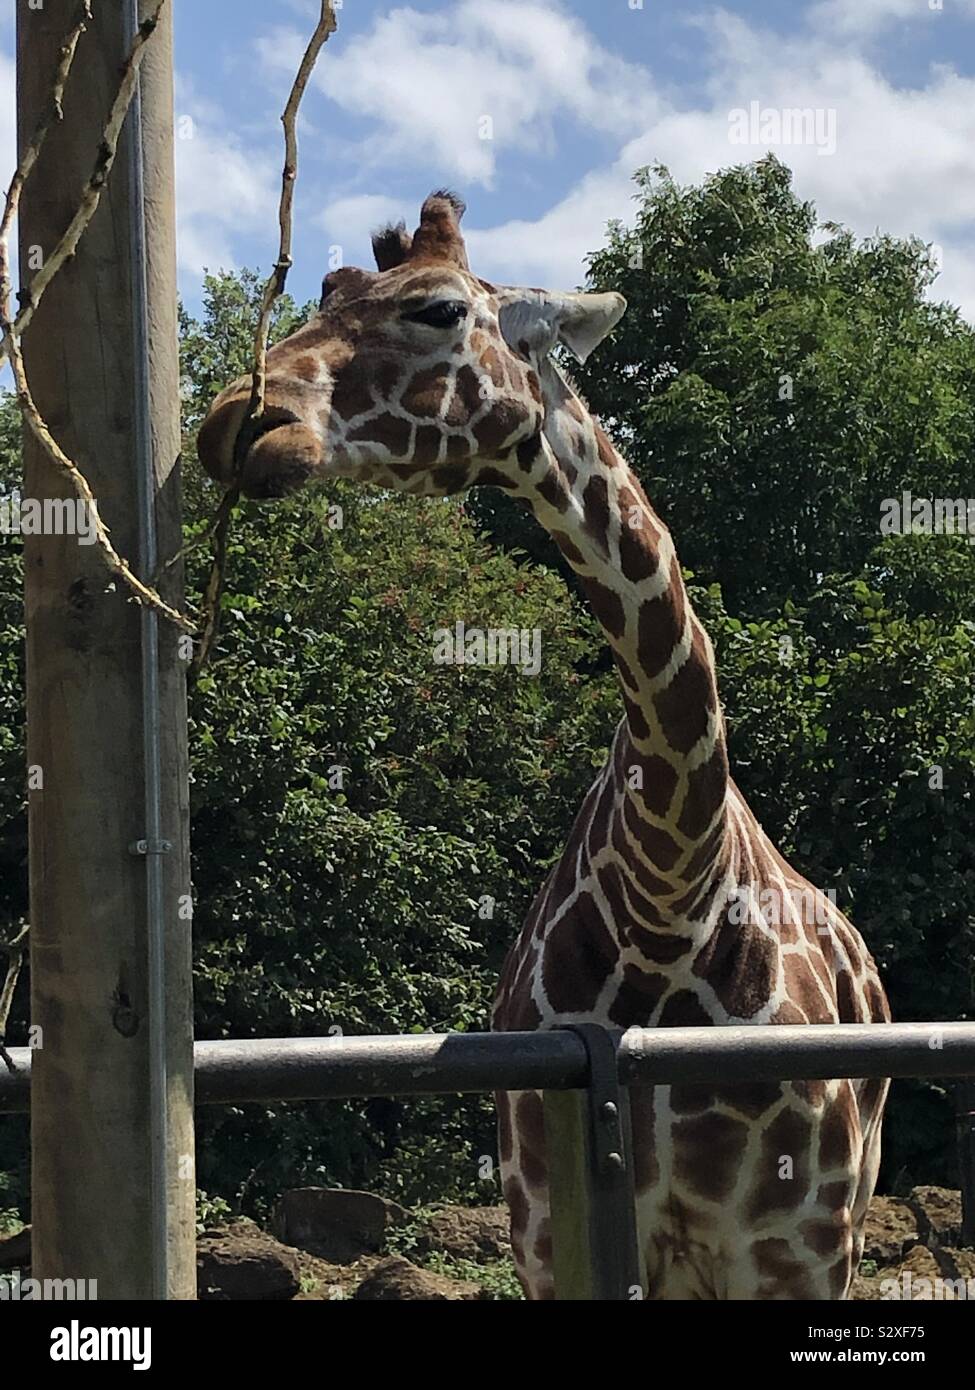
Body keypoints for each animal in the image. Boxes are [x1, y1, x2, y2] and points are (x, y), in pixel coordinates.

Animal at [197, 190, 890, 1295]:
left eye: (437, 308)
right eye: (329, 289)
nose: (238, 420)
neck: (670, 903)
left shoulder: (796, 1248)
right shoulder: (549, 1238)